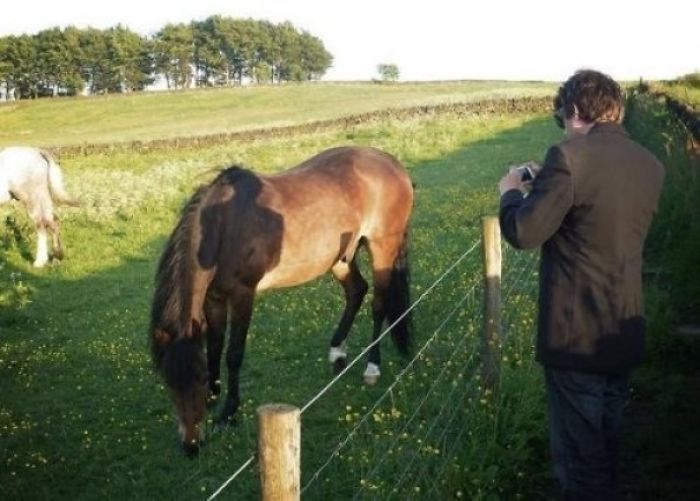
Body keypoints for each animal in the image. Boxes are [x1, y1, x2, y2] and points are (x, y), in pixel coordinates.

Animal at [149, 146, 414, 455]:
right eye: (168, 383)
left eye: (198, 379)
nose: (191, 446)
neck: (223, 227)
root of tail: (391, 163)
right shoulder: (213, 299)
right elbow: (214, 347)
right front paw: (215, 398)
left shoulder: (243, 294)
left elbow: (233, 354)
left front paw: (228, 413)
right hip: (339, 256)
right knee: (356, 291)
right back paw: (337, 353)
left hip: (383, 246)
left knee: (378, 305)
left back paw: (372, 367)